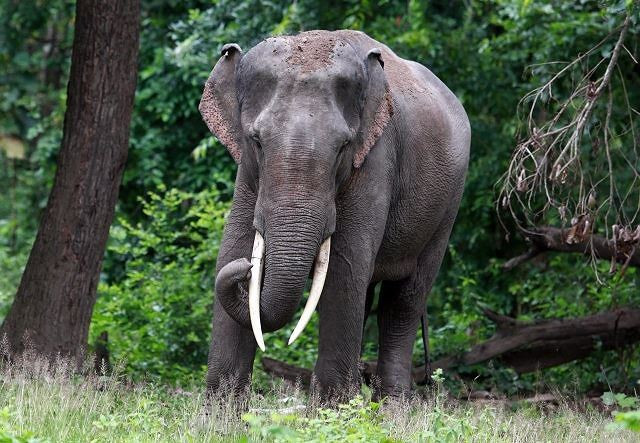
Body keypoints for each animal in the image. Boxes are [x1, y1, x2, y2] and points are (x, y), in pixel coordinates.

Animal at [199, 30, 470, 401]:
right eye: (256, 141)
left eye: (343, 146)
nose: (248, 271)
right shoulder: (248, 174)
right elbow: (233, 246)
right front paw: (220, 411)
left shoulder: (374, 158)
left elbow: (345, 264)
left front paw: (332, 409)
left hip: (448, 204)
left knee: (404, 300)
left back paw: (393, 407)